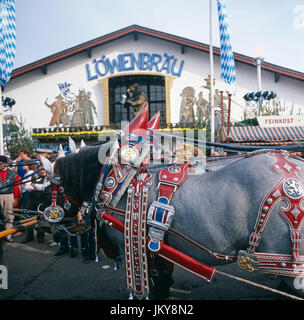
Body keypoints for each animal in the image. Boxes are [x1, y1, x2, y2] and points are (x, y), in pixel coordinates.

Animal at [50, 144, 304, 298]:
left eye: (53, 186)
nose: (53, 224)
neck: (117, 183)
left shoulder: (131, 243)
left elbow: (146, 283)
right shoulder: (154, 248)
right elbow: (160, 276)